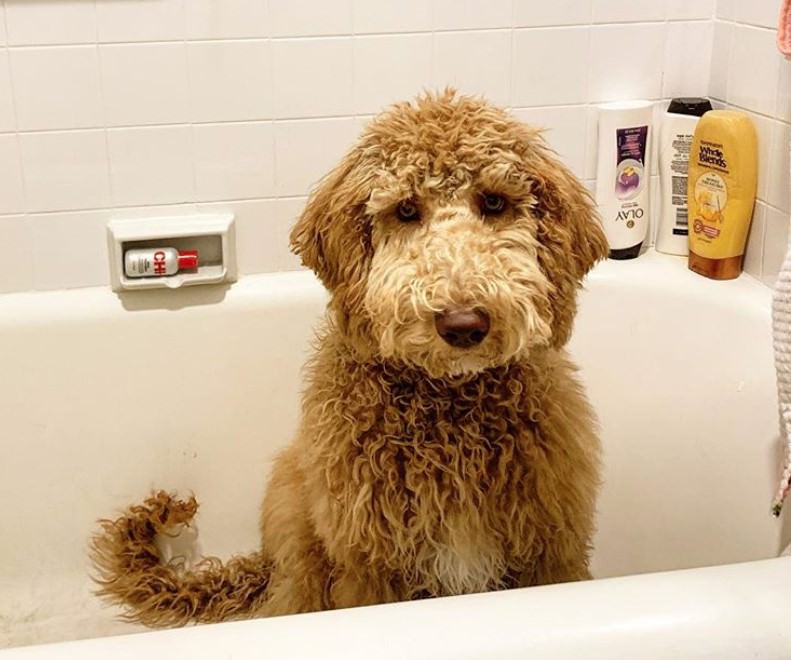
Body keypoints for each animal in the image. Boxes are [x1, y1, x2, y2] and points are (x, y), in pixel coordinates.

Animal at [94, 90, 612, 628]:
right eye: (406, 209)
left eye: (494, 202)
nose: (463, 323)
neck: (450, 413)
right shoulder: (369, 569)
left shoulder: (553, 552)